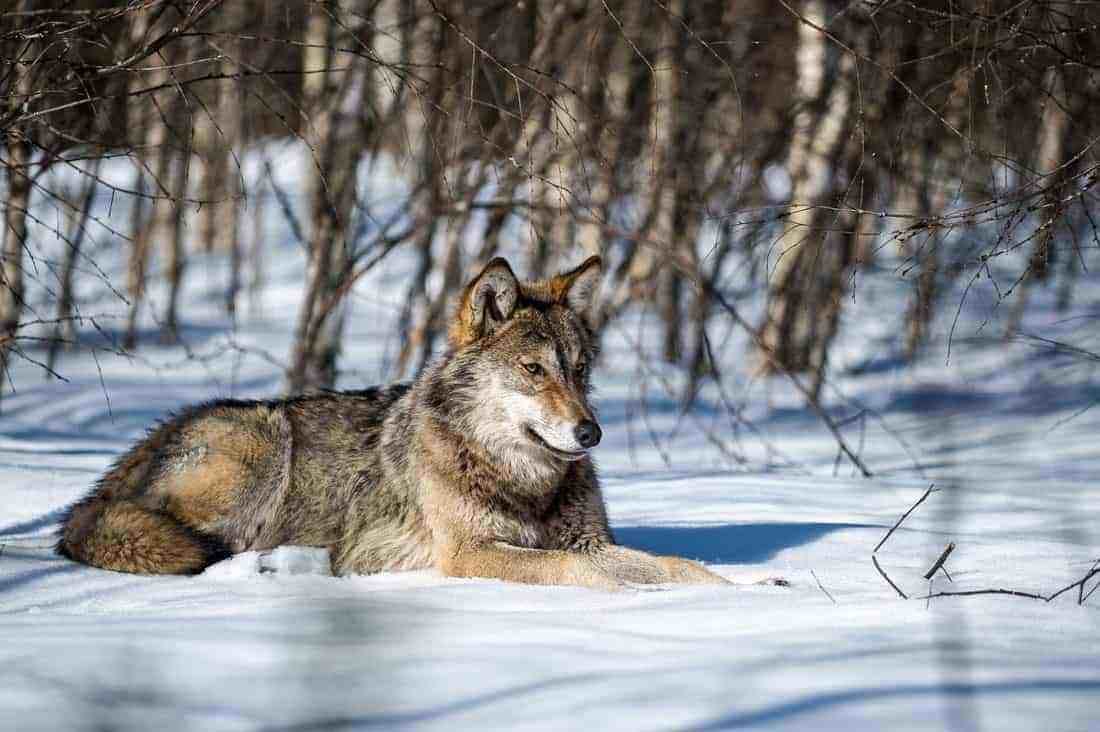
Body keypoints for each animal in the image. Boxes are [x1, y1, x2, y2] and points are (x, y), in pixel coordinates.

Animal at [58, 256, 765, 590]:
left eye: (581, 369)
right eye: (534, 370)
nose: (590, 434)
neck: (521, 479)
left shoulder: (588, 540)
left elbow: (674, 564)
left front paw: (748, 589)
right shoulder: (473, 552)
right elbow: (586, 576)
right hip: (264, 445)